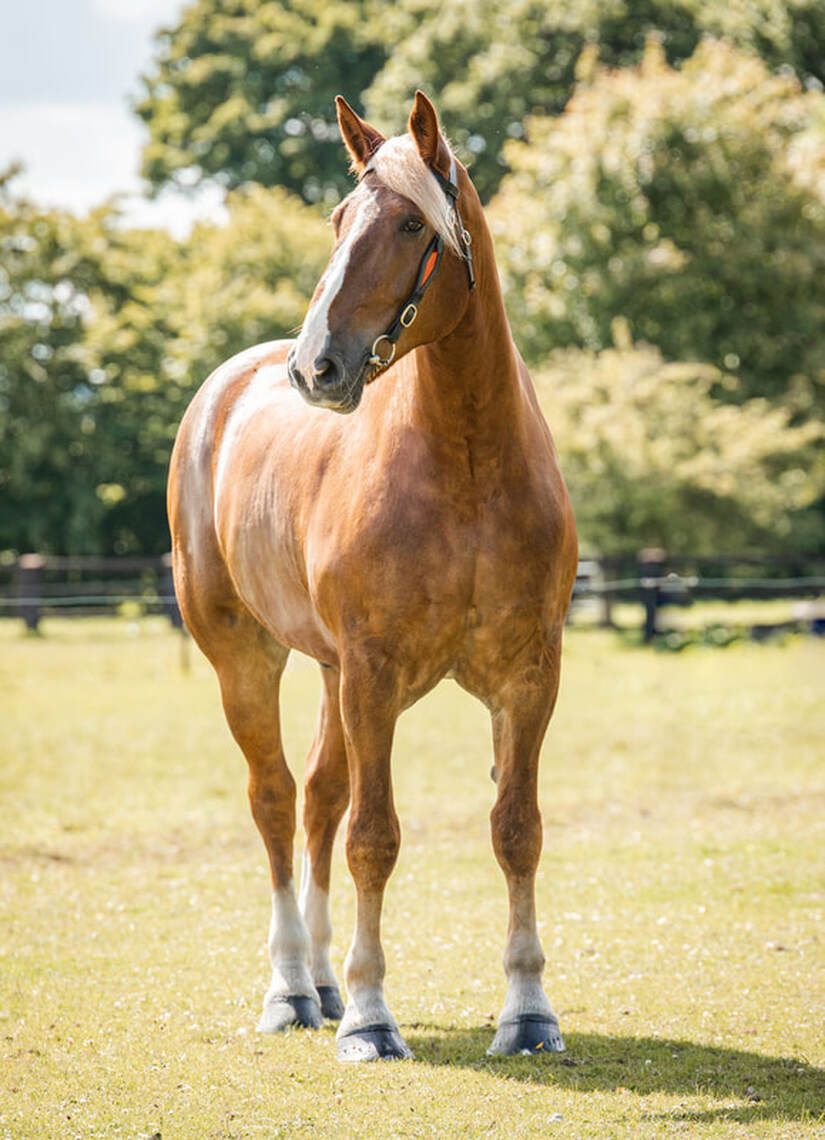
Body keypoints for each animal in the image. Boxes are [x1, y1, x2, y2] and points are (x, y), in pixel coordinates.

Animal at [168, 91, 577, 1062]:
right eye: (337, 217)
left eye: (408, 222)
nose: (316, 367)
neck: (465, 464)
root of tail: (225, 389)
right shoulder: (374, 675)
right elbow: (374, 838)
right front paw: (368, 1016)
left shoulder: (529, 678)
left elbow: (515, 831)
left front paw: (528, 1011)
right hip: (248, 660)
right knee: (277, 803)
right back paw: (292, 989)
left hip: (328, 672)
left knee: (318, 799)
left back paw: (317, 979)